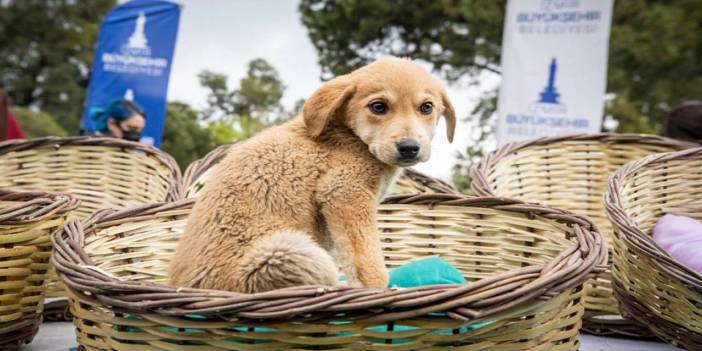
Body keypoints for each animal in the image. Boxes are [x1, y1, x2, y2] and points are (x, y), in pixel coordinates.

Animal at [170, 57, 456, 294]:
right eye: (378, 107)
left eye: (426, 107)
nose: (409, 147)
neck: (351, 137)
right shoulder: (345, 192)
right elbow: (367, 259)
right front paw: (378, 291)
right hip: (289, 253)